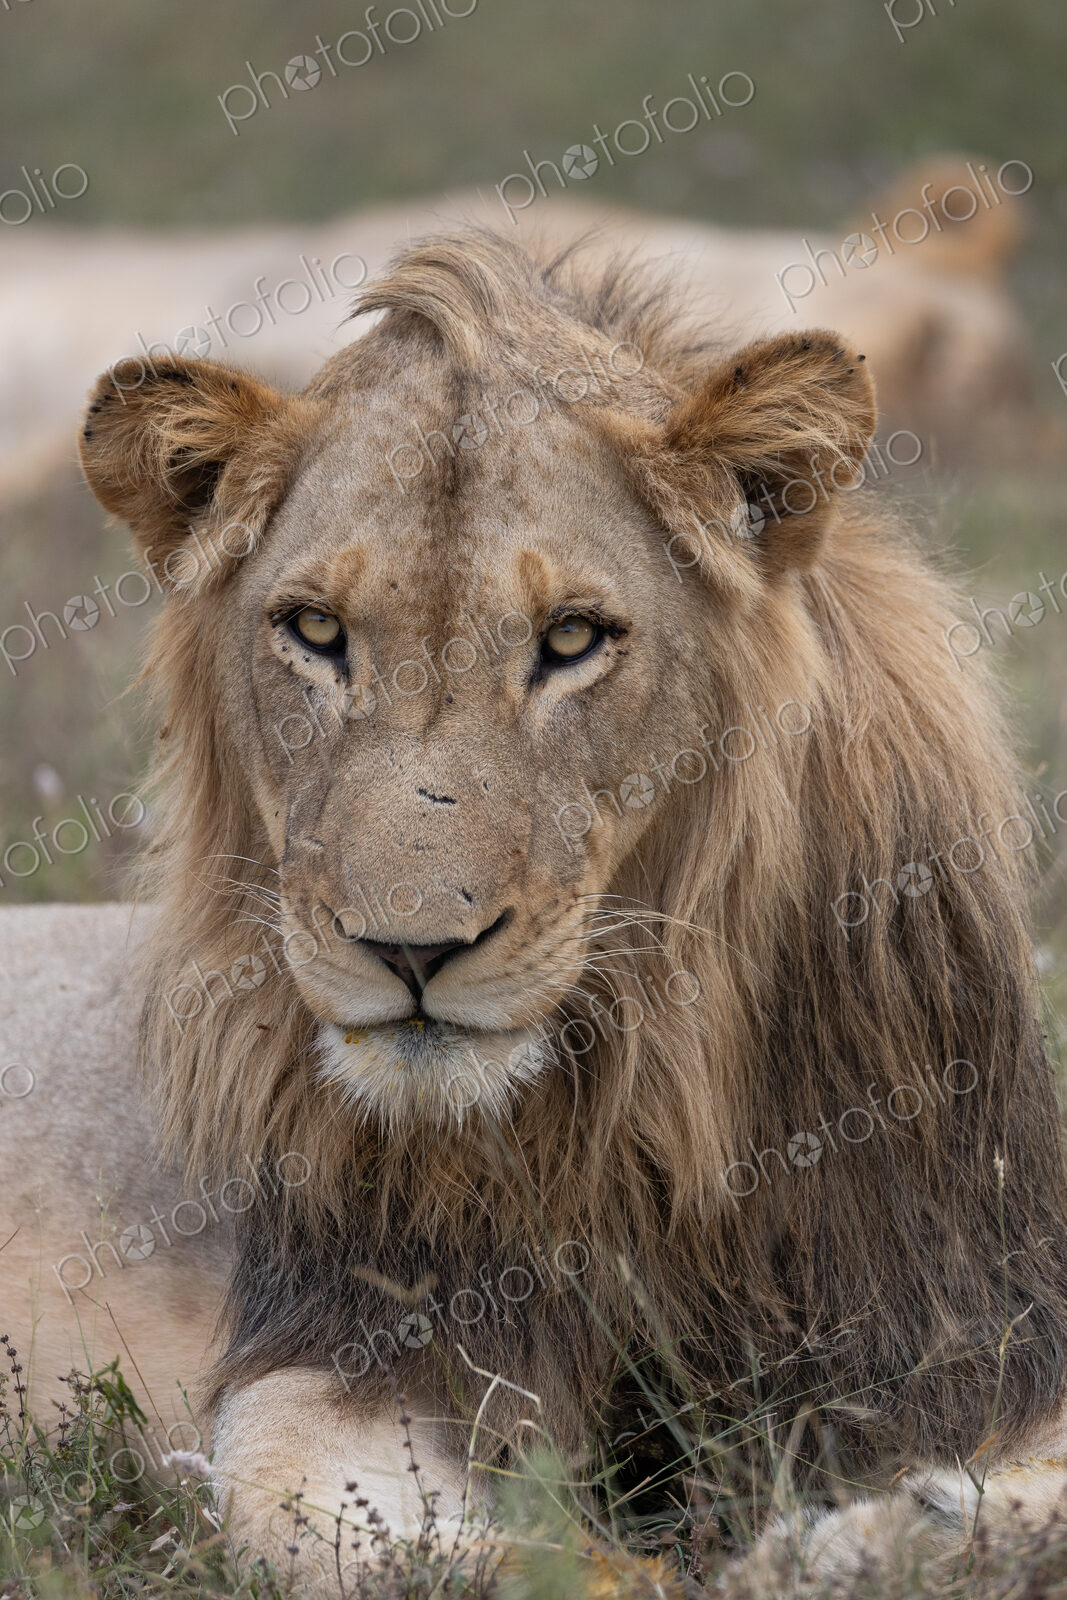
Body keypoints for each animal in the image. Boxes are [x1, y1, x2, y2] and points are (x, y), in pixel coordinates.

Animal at [5, 228, 1067, 1593]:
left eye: (569, 639)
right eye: (314, 630)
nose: (409, 947)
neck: (648, 1090)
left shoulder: (974, 1321)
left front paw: (886, 1528)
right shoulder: (351, 1343)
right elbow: (383, 1537)